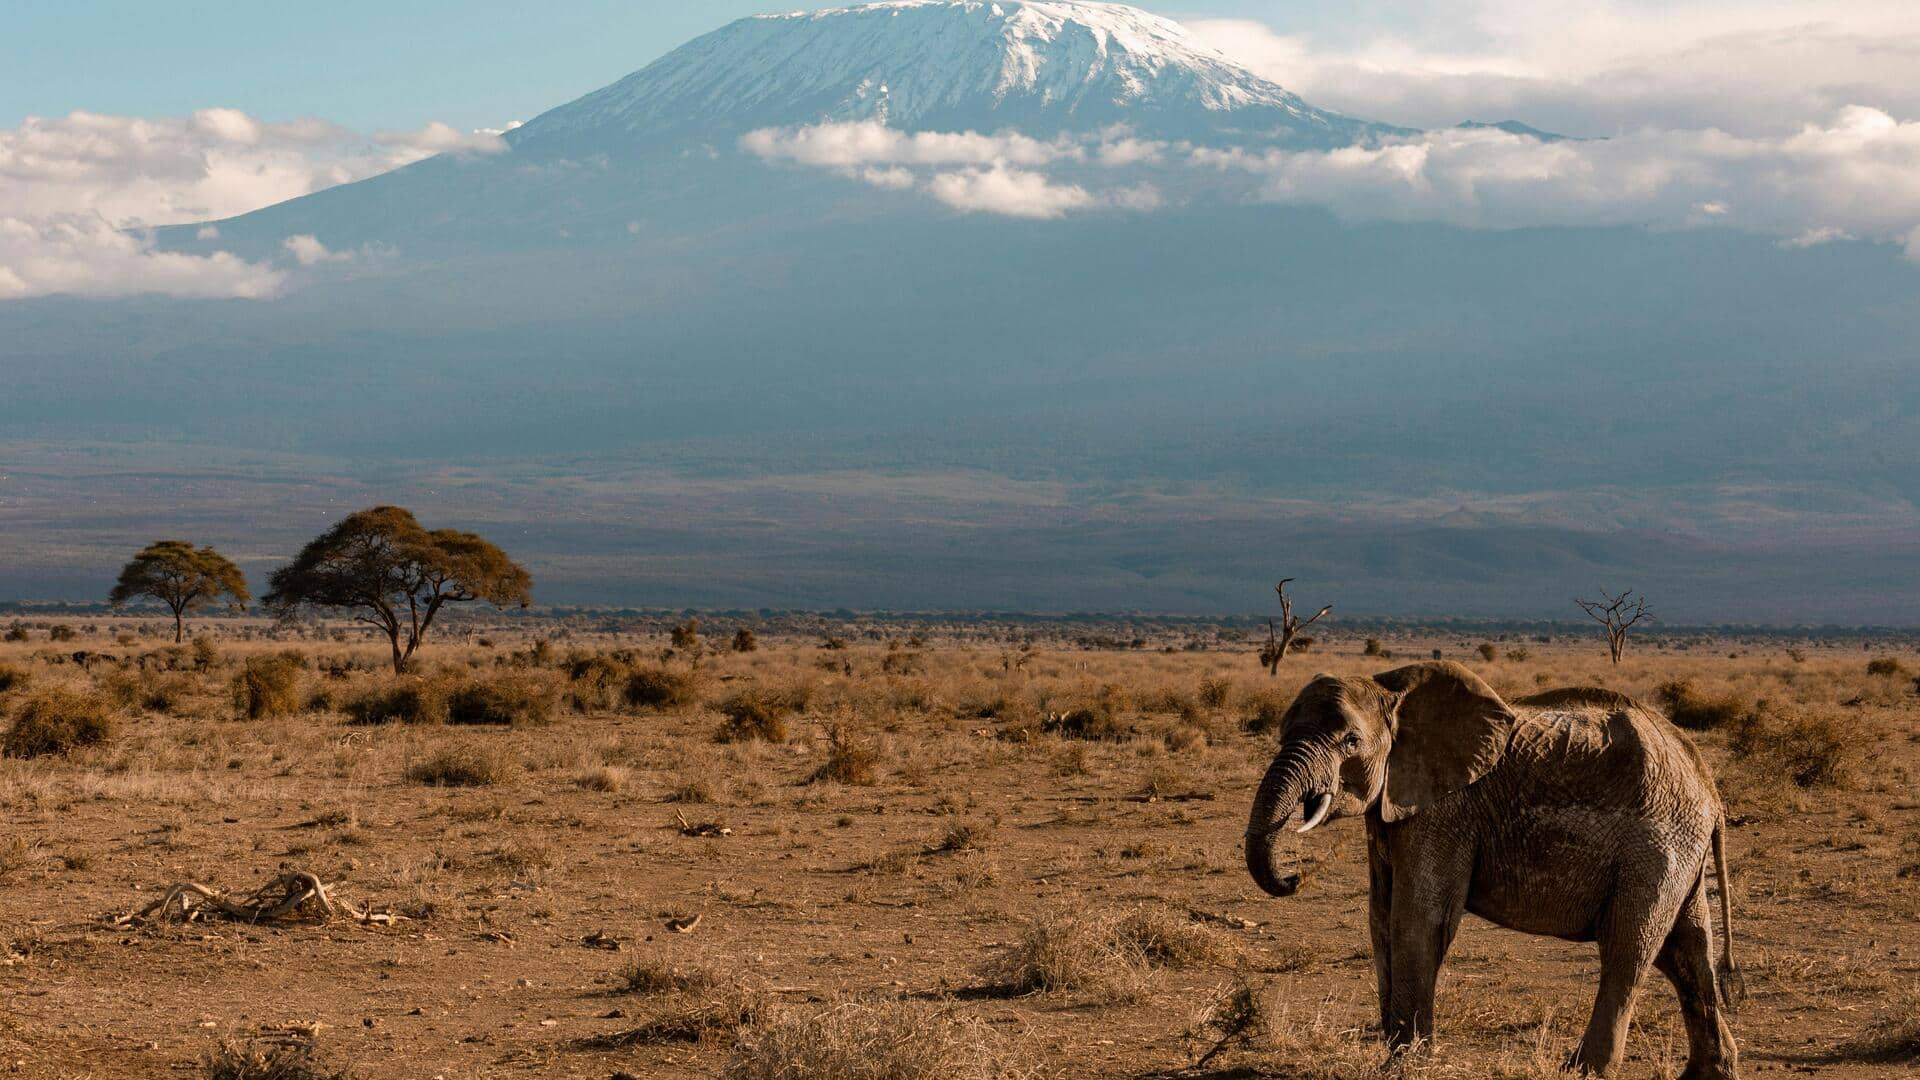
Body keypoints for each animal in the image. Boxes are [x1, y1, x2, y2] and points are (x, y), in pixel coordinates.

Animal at [1244, 661, 1743, 1068]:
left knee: (1630, 947)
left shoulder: (1446, 810)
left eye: (1350, 741)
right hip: (1679, 849)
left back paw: (1582, 1070)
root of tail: (1708, 787)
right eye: (1283, 732)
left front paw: (1404, 1063)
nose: (1294, 876)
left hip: (1658, 846)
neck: (1392, 692)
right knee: (1687, 951)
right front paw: (1396, 1051)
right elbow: (1380, 917)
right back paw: (1710, 1070)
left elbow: (1419, 918)